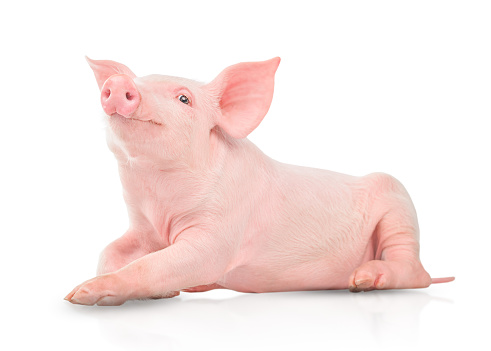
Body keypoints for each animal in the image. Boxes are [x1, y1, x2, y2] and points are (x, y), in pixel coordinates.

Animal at [64, 57, 454, 306]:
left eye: (184, 98)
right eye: (140, 80)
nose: (119, 84)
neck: (160, 200)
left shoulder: (223, 228)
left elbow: (169, 262)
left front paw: (79, 296)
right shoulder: (143, 228)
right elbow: (111, 252)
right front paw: (165, 294)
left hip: (398, 204)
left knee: (414, 270)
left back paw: (363, 281)